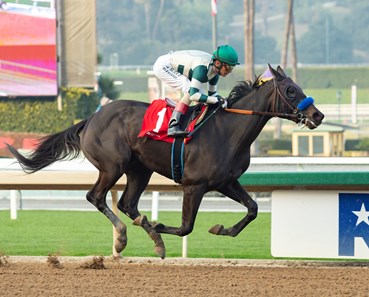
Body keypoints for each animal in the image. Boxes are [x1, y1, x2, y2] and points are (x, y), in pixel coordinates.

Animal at [6, 64, 322, 256]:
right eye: (291, 90)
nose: (318, 115)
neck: (228, 130)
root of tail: (92, 118)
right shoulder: (194, 185)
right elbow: (186, 227)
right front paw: (159, 226)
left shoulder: (226, 182)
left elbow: (253, 208)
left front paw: (222, 229)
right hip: (112, 166)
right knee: (96, 197)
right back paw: (125, 235)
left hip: (140, 169)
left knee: (127, 204)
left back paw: (150, 236)